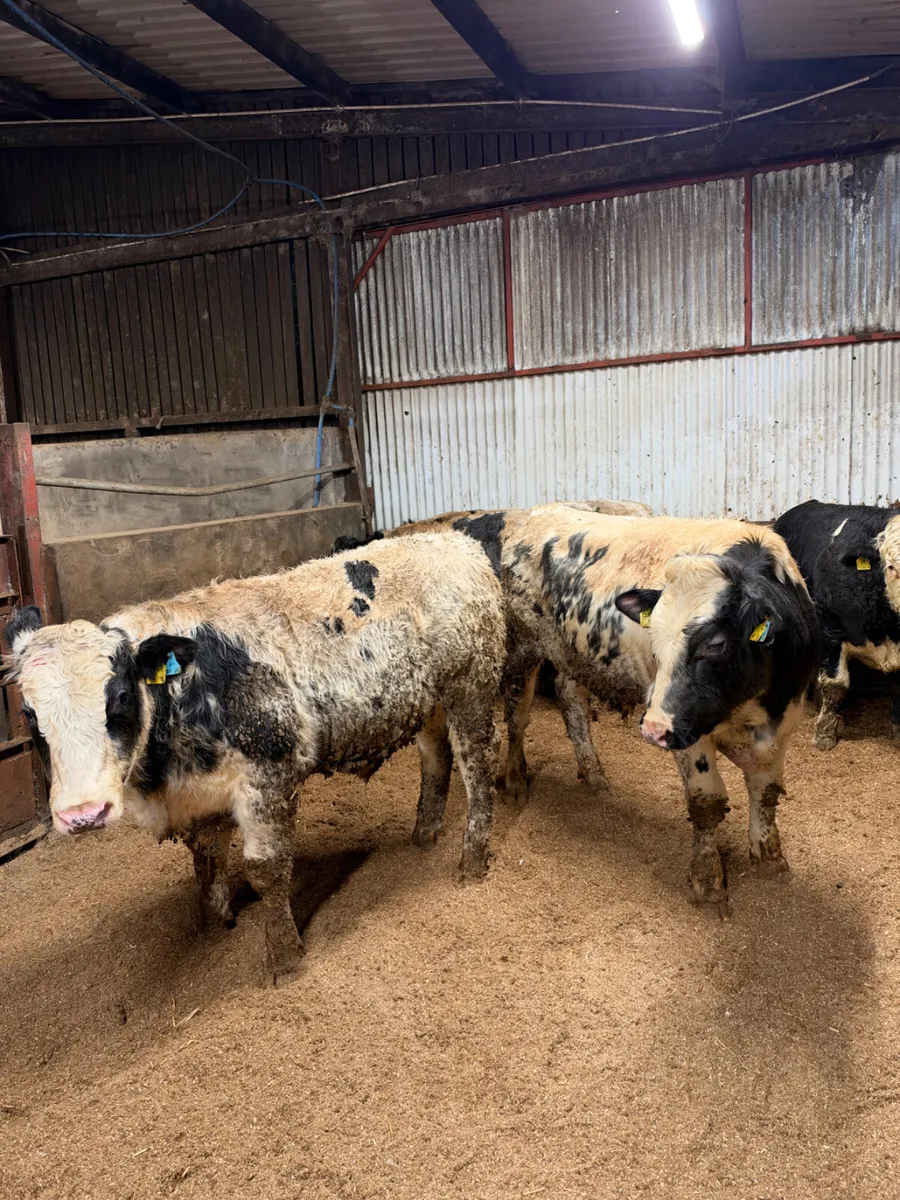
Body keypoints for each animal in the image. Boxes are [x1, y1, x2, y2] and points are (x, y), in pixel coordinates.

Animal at [2, 533, 506, 986]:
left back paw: (472, 861)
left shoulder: (268, 775)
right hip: (428, 702)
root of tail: (453, 541)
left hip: (472, 687)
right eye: (29, 713)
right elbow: (207, 863)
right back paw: (423, 837)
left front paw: (284, 959)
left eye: (121, 696)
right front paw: (213, 929)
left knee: (477, 768)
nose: (84, 814)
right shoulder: (199, 796)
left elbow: (266, 869)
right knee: (435, 759)